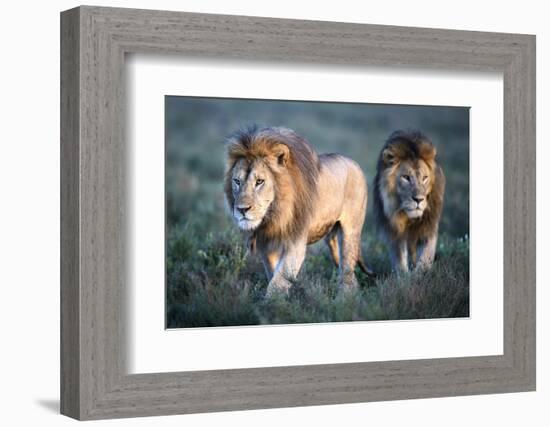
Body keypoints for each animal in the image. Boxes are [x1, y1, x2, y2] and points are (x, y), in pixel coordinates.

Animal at [225, 125, 376, 296]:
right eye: (237, 181)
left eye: (259, 182)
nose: (242, 209)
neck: (275, 214)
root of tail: (353, 162)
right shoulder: (267, 243)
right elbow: (273, 273)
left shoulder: (295, 241)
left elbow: (279, 280)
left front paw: (270, 301)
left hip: (351, 230)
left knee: (348, 266)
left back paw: (346, 296)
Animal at [374, 129, 446, 272]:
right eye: (406, 177)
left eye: (425, 178)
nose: (419, 199)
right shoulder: (394, 229)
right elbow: (399, 257)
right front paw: (403, 275)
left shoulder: (429, 224)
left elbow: (426, 254)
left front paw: (420, 273)